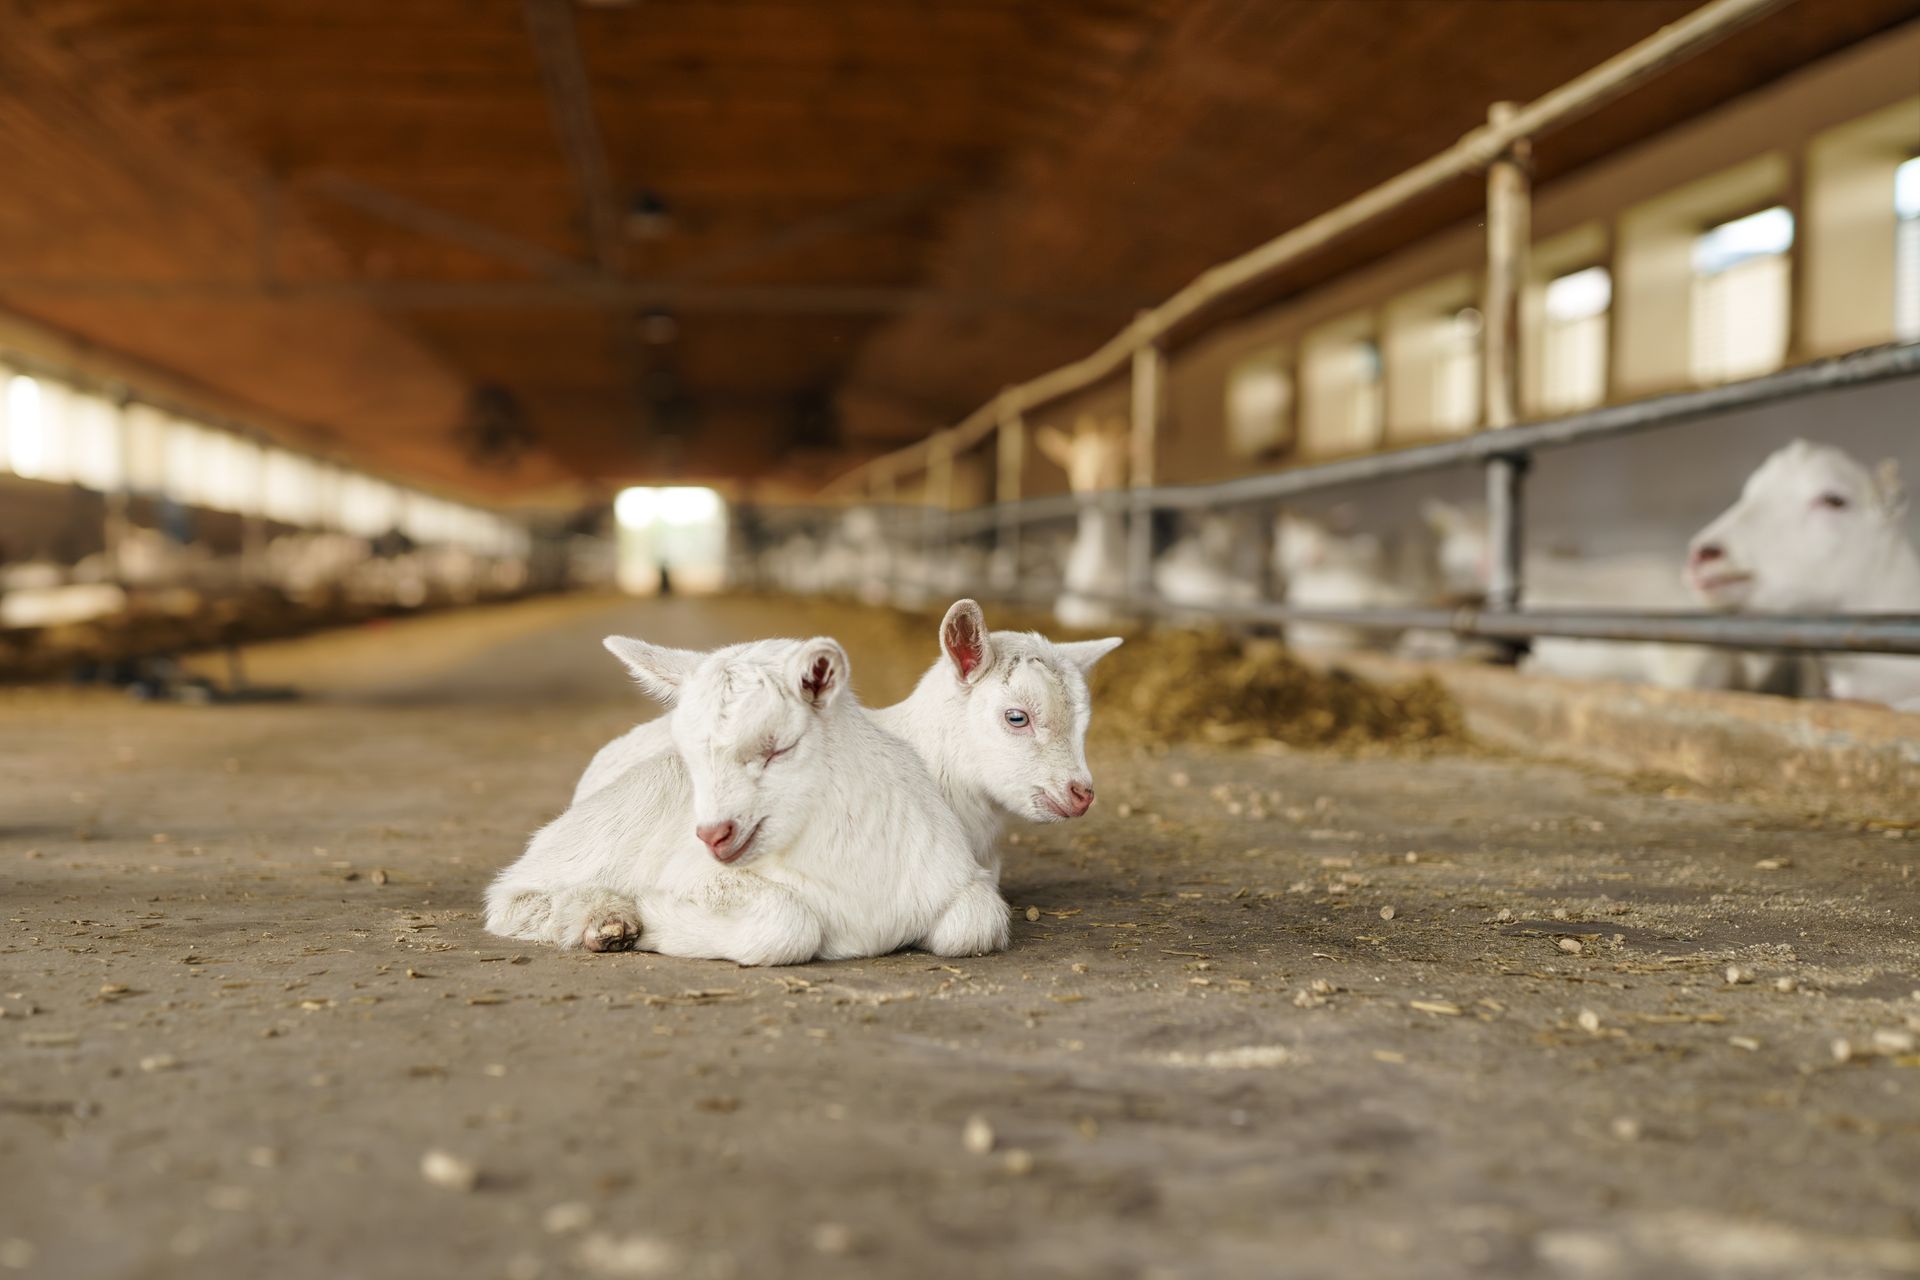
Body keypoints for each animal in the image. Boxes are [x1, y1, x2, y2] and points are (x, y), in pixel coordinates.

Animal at [486, 634, 1010, 964]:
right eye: (689, 753)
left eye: (778, 748)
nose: (713, 834)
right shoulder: (700, 875)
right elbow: (789, 925)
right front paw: (653, 916)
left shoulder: (952, 875)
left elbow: (975, 925)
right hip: (611, 823)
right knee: (513, 894)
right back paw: (603, 918)